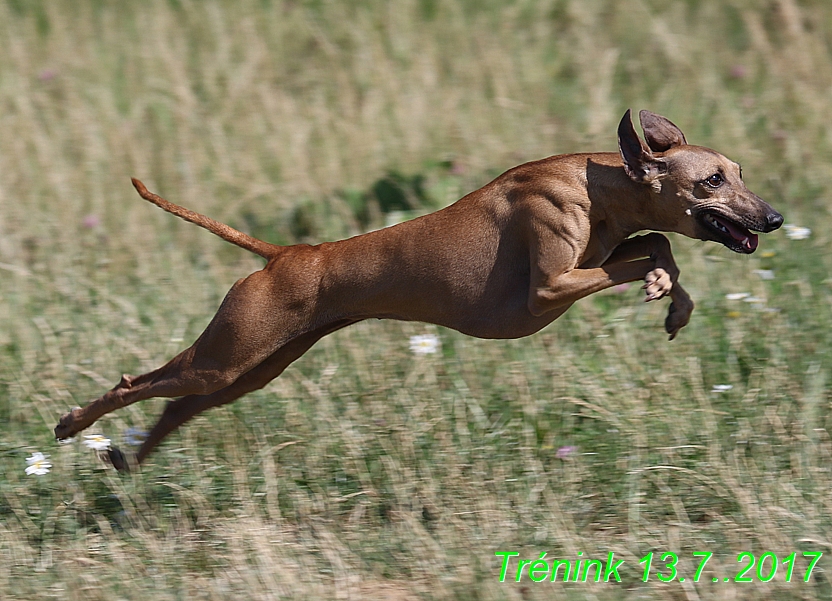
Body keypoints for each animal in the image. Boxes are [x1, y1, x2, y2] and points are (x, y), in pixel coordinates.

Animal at [55, 111, 784, 468]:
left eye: (740, 172)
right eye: (712, 180)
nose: (775, 218)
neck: (595, 182)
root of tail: (286, 254)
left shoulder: (597, 256)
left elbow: (656, 244)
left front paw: (674, 299)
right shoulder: (548, 291)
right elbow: (641, 255)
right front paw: (663, 286)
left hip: (246, 370)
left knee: (174, 407)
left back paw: (128, 462)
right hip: (226, 357)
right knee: (135, 382)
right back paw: (73, 424)